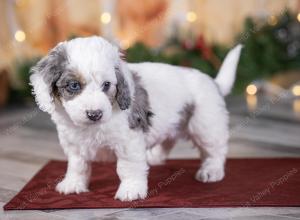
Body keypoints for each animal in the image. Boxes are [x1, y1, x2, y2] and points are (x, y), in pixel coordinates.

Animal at [29, 36, 243, 201]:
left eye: (107, 85)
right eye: (74, 85)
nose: (95, 114)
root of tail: (213, 81)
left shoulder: (128, 142)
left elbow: (128, 168)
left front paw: (131, 190)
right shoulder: (73, 144)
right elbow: (77, 165)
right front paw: (73, 184)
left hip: (205, 125)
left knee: (215, 151)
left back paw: (212, 170)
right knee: (168, 141)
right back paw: (155, 157)